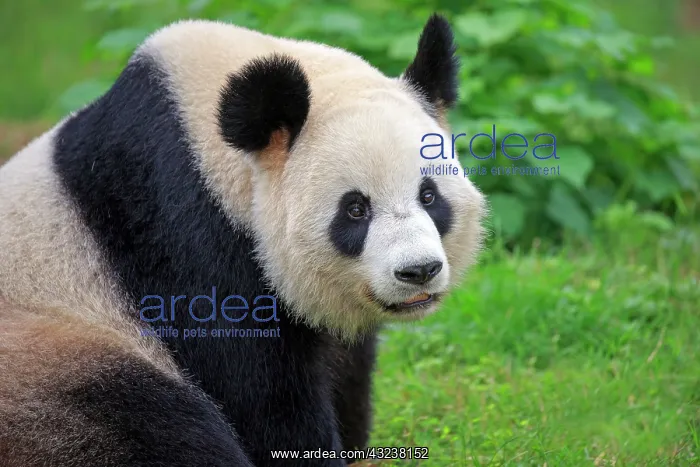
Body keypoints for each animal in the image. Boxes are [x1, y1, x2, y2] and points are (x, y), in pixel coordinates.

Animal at [0, 13, 485, 467]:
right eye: (355, 209)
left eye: (429, 195)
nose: (419, 271)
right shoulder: (178, 225)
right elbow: (259, 392)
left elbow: (345, 365)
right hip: (51, 362)